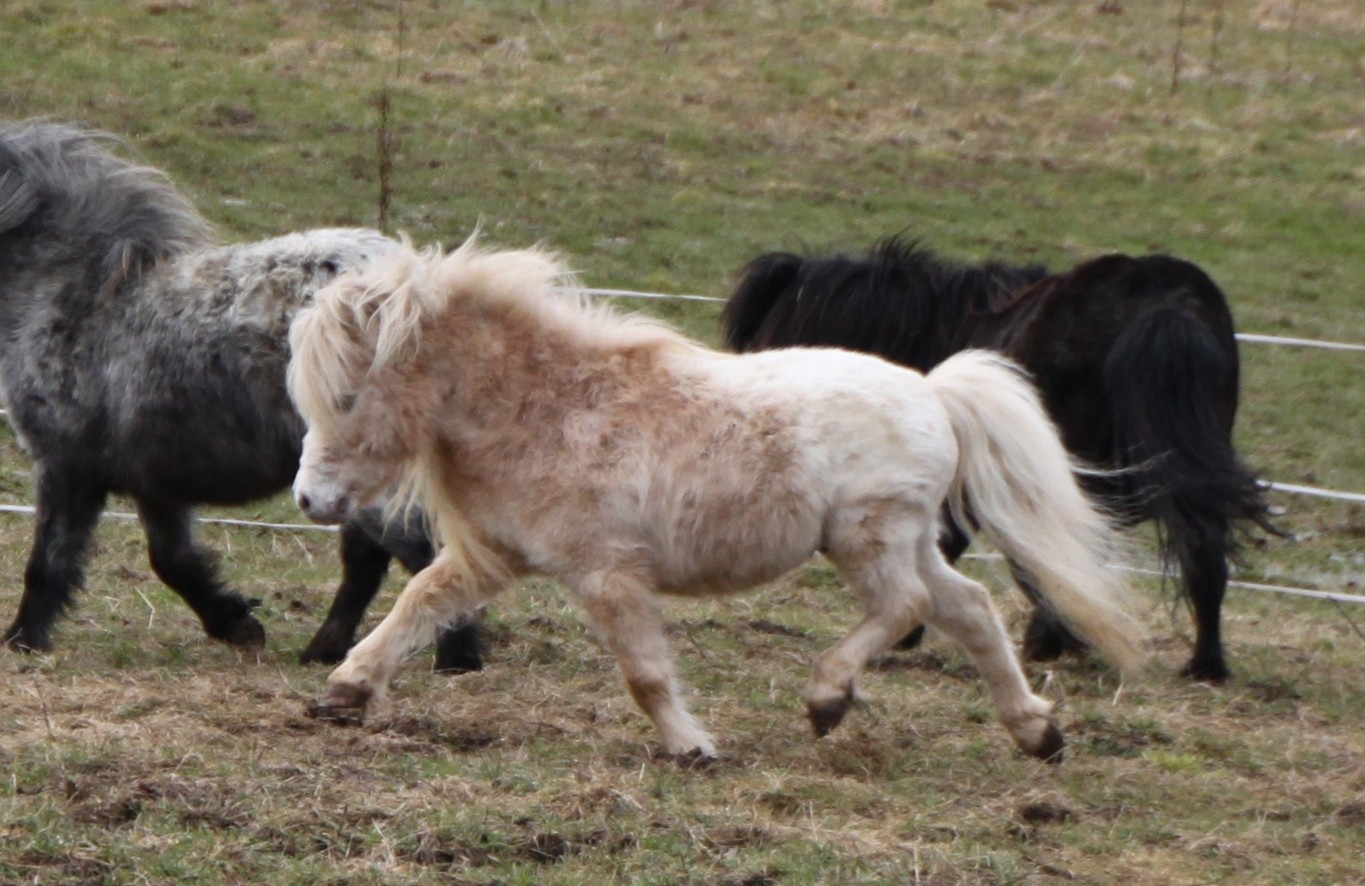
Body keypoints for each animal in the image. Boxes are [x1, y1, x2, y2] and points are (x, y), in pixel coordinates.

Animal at [0, 119, 480, 671]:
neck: (78, 293)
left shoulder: (67, 467)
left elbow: (50, 560)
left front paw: (21, 639)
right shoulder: (155, 481)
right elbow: (173, 561)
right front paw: (235, 623)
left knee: (421, 553)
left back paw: (455, 659)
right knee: (371, 559)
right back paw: (325, 650)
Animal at [290, 236, 1152, 759]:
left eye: (346, 397)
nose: (307, 500)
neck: (551, 407)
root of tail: (934, 392)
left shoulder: (608, 573)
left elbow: (643, 672)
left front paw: (690, 747)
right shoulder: (491, 558)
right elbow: (417, 607)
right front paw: (345, 692)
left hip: (867, 539)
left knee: (904, 607)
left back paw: (827, 698)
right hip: (901, 539)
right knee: (966, 609)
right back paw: (1035, 732)